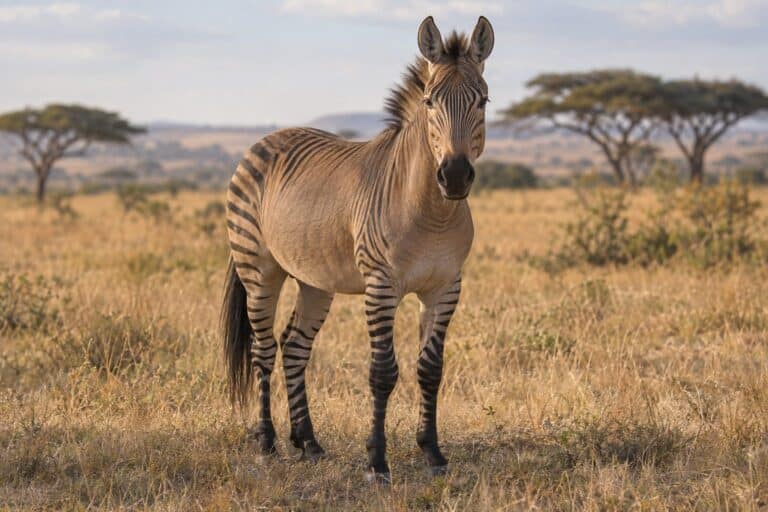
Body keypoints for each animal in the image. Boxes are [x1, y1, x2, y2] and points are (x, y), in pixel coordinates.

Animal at [222, 16, 494, 483]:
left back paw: (308, 442)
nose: (456, 176)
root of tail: (267, 138)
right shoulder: (380, 284)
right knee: (263, 349)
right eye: (429, 102)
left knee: (294, 345)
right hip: (258, 269)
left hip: (315, 279)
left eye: (483, 101)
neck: (432, 213)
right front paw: (377, 460)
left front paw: (433, 453)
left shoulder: (445, 287)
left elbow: (430, 369)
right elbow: (382, 372)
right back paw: (268, 443)